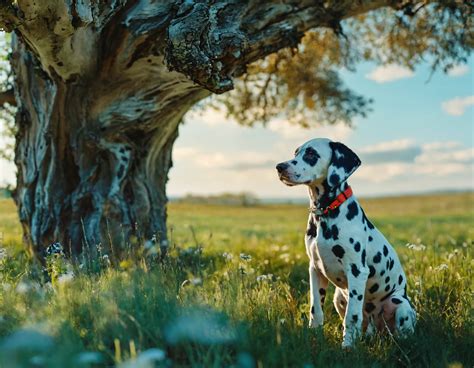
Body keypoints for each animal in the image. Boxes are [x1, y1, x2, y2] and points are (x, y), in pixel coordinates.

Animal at [276, 138, 416, 348]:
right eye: (296, 153)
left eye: (311, 154)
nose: (280, 167)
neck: (325, 213)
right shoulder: (315, 270)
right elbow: (316, 310)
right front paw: (313, 339)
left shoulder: (357, 271)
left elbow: (352, 316)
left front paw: (347, 347)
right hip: (339, 298)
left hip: (400, 303)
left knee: (402, 332)